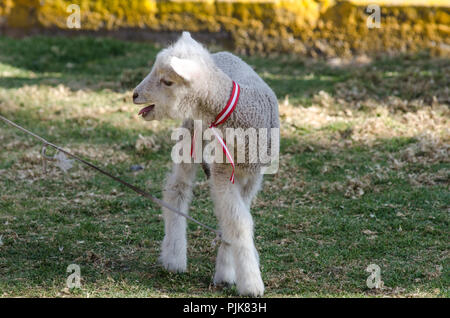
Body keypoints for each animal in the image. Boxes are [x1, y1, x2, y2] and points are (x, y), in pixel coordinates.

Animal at [132, 31, 280, 296]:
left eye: (167, 81)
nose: (134, 94)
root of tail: (220, 54)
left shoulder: (252, 176)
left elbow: (235, 220)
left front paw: (228, 271)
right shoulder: (223, 171)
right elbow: (238, 223)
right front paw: (251, 283)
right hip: (190, 134)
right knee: (177, 189)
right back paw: (174, 258)